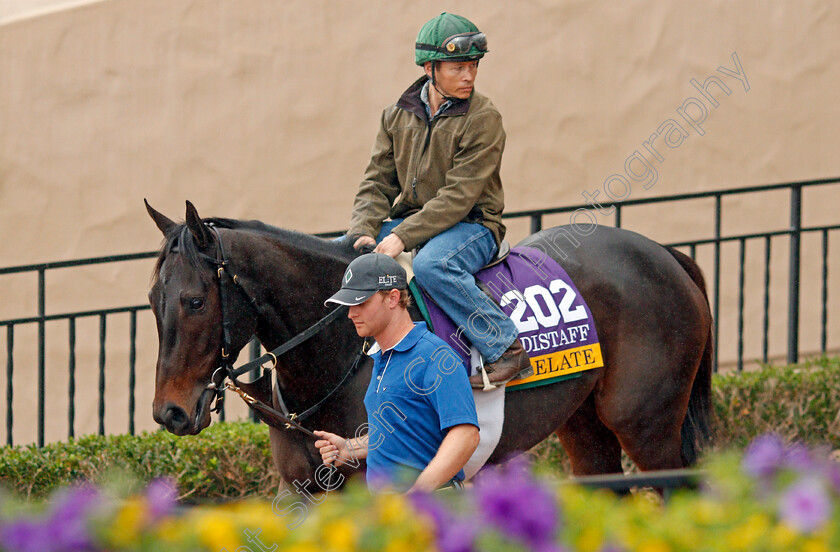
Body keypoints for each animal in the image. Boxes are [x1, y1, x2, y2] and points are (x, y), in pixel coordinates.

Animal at [148, 201, 712, 490]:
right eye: (154, 300)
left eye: (195, 301)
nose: (169, 413)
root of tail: (663, 252)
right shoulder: (300, 490)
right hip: (584, 424)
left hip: (646, 423)